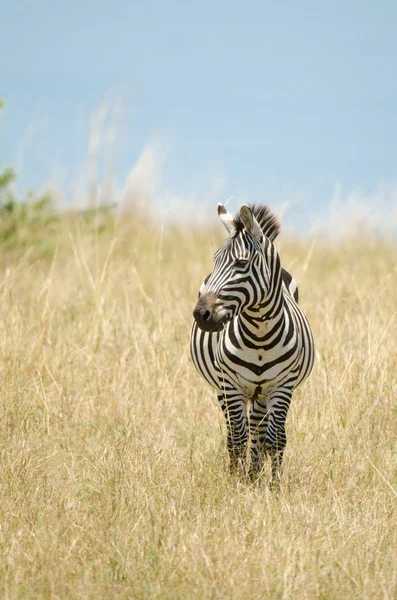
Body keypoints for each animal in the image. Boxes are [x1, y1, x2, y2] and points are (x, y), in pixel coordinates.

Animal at [190, 204, 314, 480]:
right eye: (215, 260)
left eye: (241, 263)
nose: (201, 315)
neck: (260, 334)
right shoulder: (231, 385)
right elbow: (237, 439)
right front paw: (235, 482)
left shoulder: (282, 386)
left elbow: (276, 440)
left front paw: (274, 484)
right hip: (224, 388)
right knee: (238, 432)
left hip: (262, 392)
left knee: (259, 430)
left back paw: (255, 475)